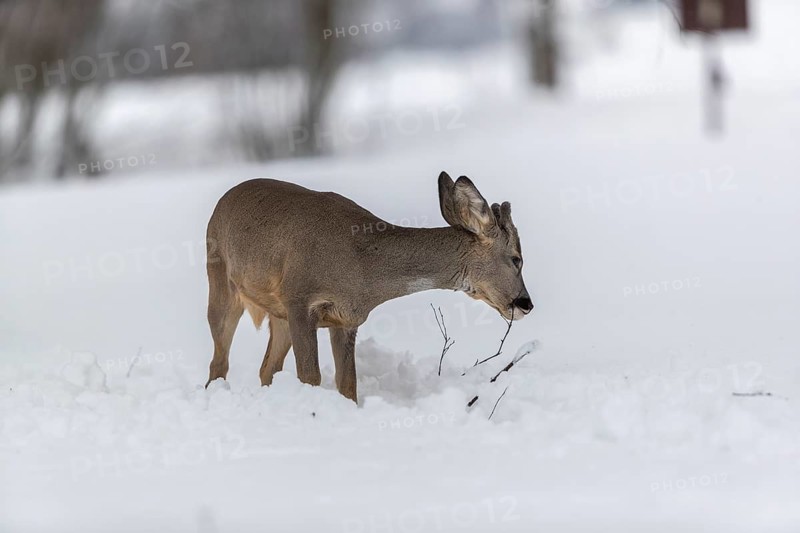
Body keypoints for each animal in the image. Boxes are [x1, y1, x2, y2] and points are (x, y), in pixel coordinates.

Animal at [204, 171, 533, 402]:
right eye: (516, 259)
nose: (525, 303)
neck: (363, 268)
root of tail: (222, 200)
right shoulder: (300, 298)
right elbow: (310, 377)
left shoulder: (345, 319)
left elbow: (347, 385)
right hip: (220, 280)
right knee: (219, 362)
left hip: (277, 313)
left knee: (266, 368)